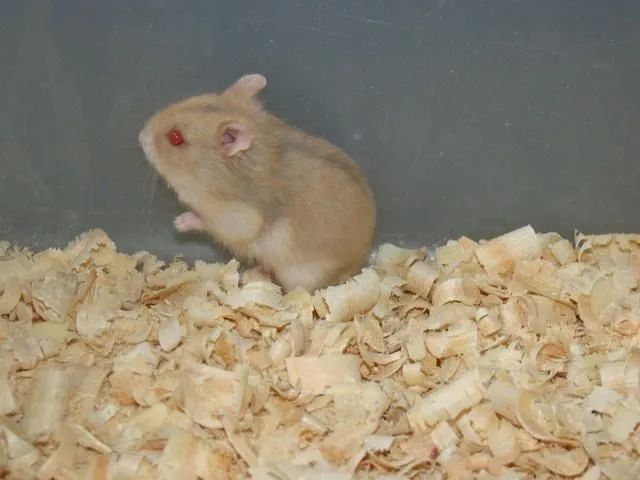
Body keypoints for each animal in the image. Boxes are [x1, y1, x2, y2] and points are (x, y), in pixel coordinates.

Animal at [138, 74, 376, 292]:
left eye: (175, 138)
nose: (140, 135)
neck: (210, 174)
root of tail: (357, 265)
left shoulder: (236, 221)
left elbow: (206, 222)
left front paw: (179, 222)